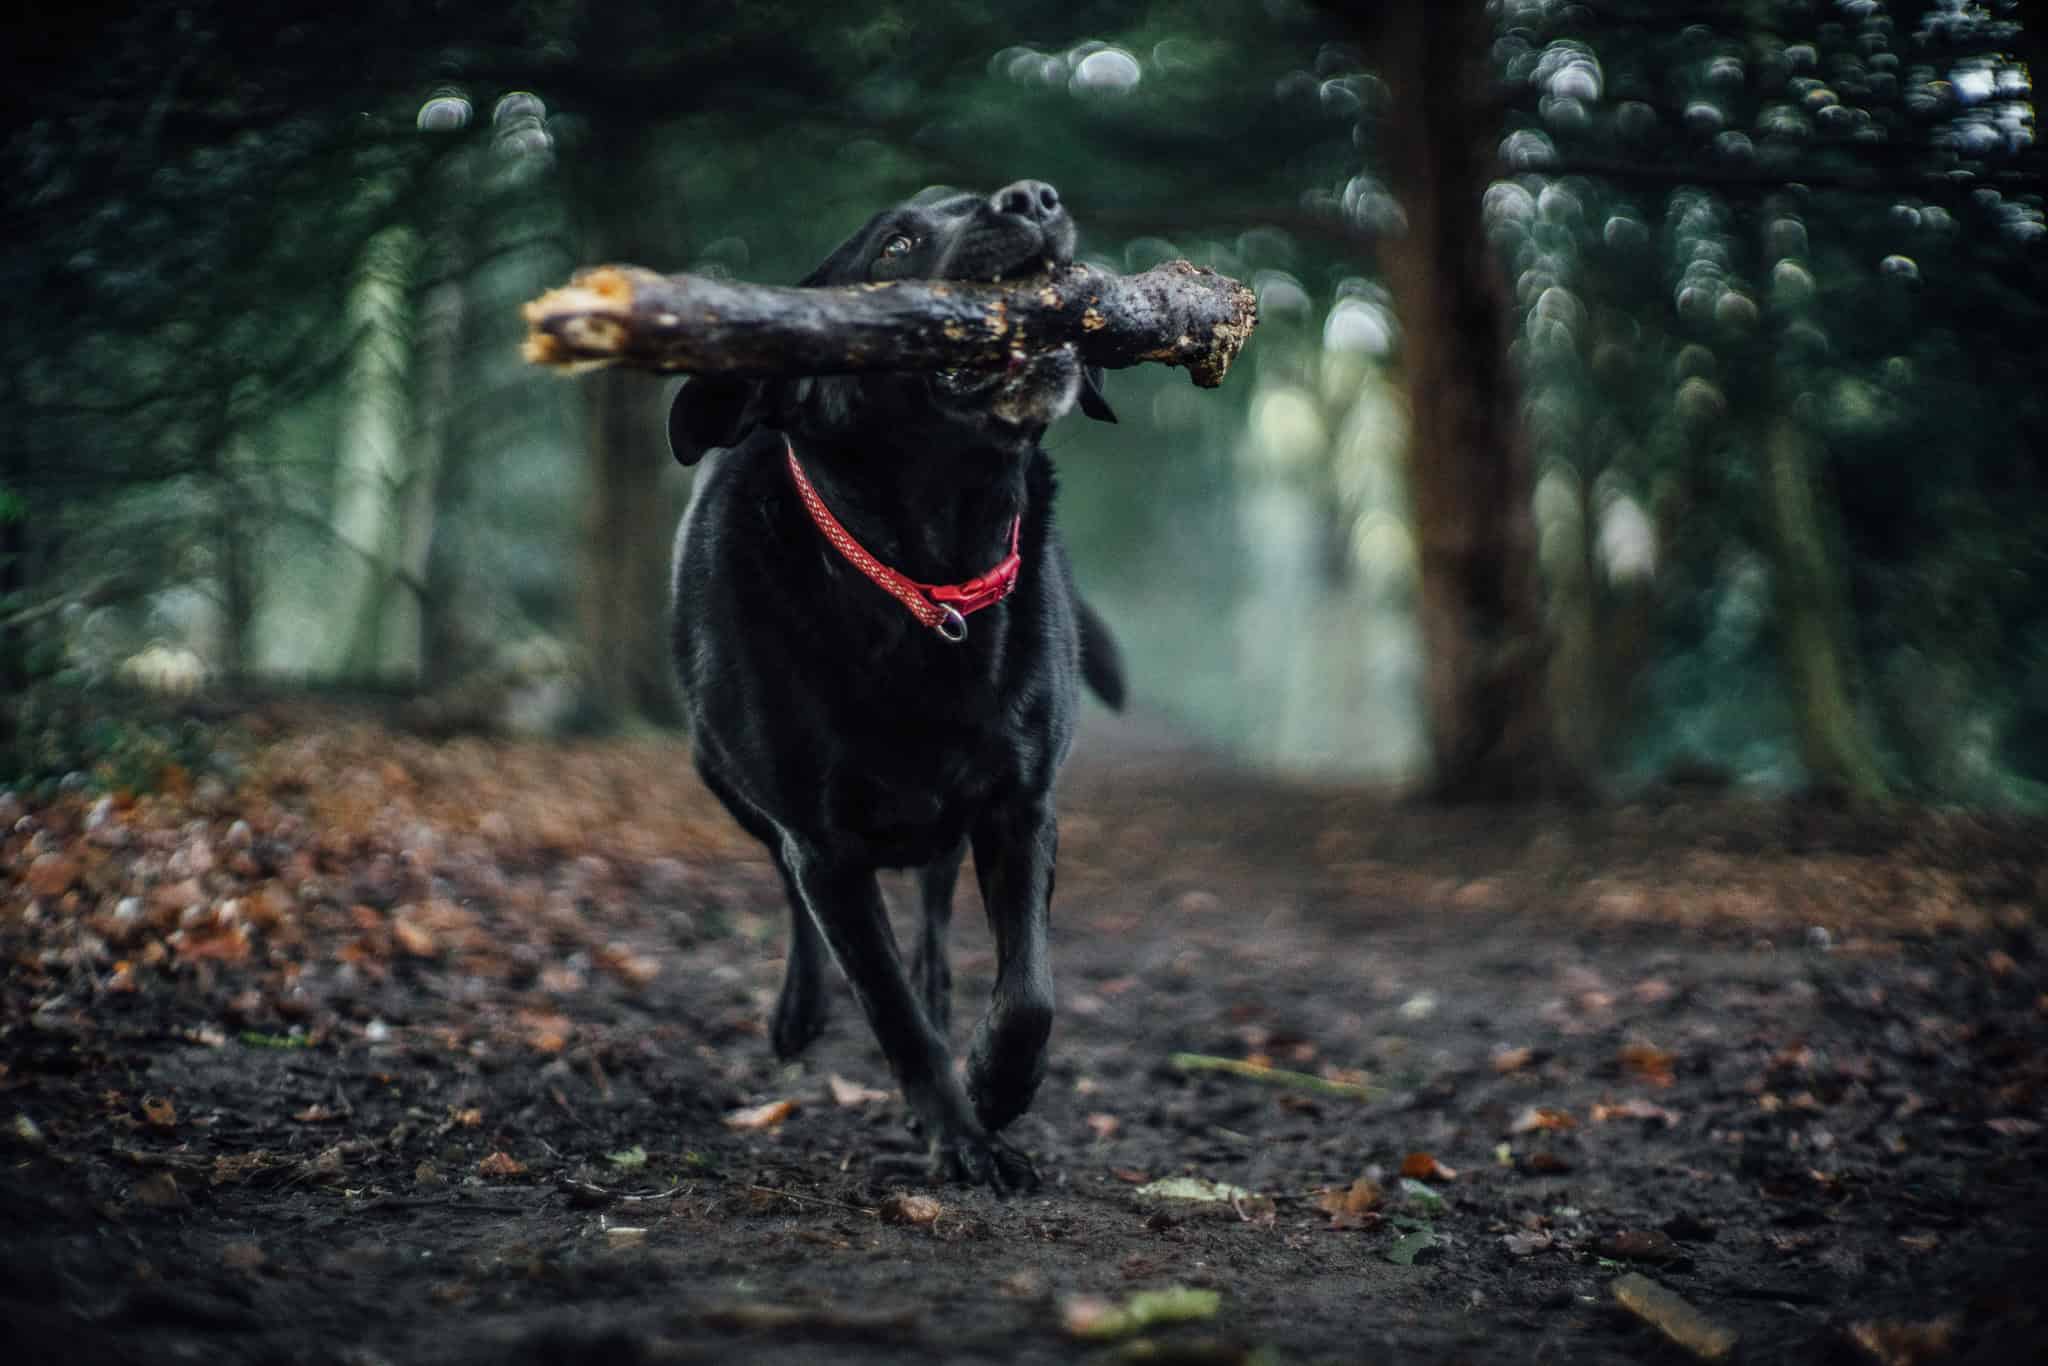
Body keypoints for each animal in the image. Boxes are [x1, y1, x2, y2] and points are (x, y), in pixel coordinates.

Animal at [667, 179, 1122, 1187]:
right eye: (896, 246)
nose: (1034, 197)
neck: (925, 576)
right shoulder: (823, 842)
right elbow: (888, 1012)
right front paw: (961, 1136)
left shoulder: (1022, 804)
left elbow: (1029, 989)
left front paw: (996, 1085)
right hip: (723, 778)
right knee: (794, 893)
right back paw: (802, 1011)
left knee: (936, 902)